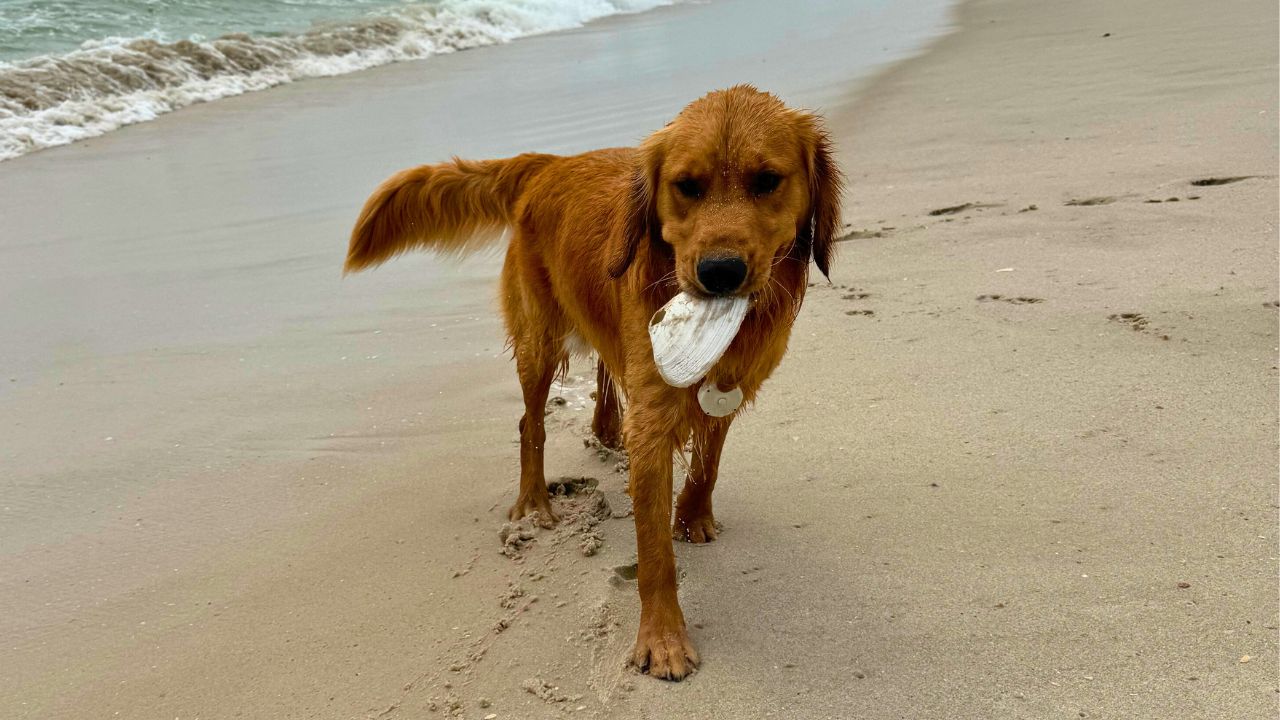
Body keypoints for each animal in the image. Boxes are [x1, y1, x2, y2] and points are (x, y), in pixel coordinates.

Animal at [343, 85, 839, 676]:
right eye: (686, 186)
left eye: (767, 180)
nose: (721, 272)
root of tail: (549, 163)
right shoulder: (652, 420)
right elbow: (654, 553)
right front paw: (663, 639)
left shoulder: (730, 386)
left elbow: (708, 463)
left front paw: (693, 516)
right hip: (539, 340)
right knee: (529, 423)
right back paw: (534, 502)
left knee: (605, 365)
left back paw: (604, 427)